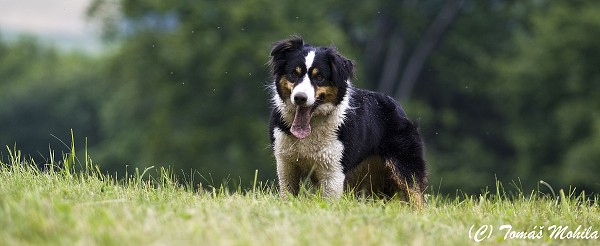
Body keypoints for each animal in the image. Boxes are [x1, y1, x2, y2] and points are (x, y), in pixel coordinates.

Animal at [268, 36, 426, 206]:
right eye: (293, 73)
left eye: (319, 77)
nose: (300, 98)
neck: (312, 125)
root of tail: (399, 108)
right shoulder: (286, 163)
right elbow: (287, 194)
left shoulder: (333, 169)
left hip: (404, 165)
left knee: (417, 198)